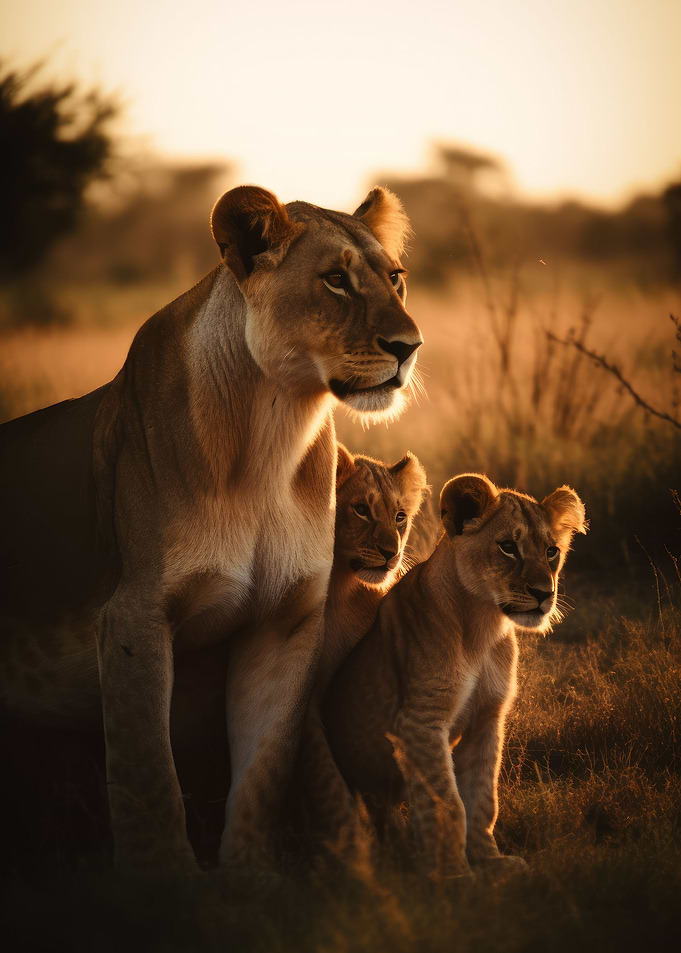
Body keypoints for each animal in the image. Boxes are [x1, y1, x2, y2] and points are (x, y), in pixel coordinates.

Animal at [0, 184, 422, 875]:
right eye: (335, 281)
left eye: (396, 278)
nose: (411, 346)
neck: (274, 432)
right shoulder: (135, 617)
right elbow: (148, 773)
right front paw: (169, 884)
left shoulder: (285, 622)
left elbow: (264, 771)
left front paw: (251, 879)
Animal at [320, 473, 587, 879]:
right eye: (508, 547)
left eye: (551, 551)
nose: (545, 593)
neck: (482, 625)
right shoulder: (420, 723)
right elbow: (446, 803)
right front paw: (454, 876)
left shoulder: (488, 718)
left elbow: (482, 796)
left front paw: (490, 861)